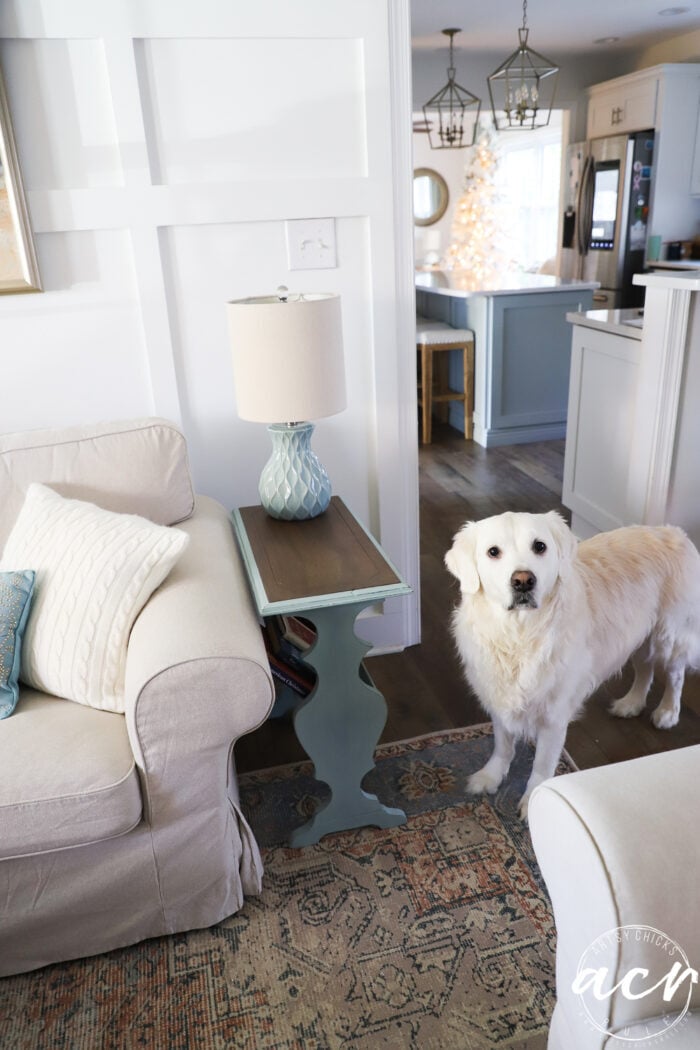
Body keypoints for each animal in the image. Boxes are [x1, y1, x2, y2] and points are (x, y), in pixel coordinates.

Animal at [447, 512, 696, 814]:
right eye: (493, 552)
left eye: (539, 546)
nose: (523, 581)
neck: (519, 633)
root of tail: (674, 532)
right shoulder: (498, 698)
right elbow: (502, 746)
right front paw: (490, 777)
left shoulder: (553, 716)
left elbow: (542, 765)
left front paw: (535, 804)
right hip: (637, 634)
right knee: (645, 669)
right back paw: (631, 703)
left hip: (668, 636)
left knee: (675, 675)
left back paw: (668, 712)